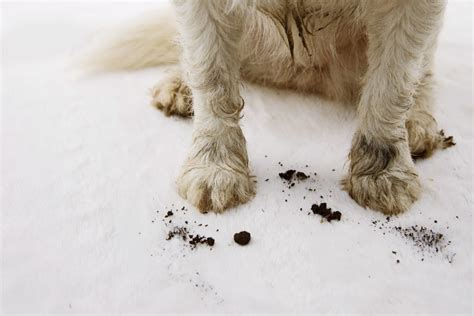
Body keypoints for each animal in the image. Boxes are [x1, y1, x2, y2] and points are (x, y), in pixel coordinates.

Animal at [87, 0, 454, 215]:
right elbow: (211, 75)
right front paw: (215, 169)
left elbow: (392, 82)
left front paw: (383, 174)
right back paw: (179, 85)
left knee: (424, 70)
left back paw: (418, 123)